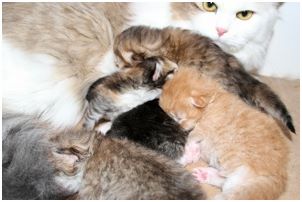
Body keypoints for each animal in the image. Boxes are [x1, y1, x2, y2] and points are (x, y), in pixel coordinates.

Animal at [159, 67, 290, 199]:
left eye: (178, 118)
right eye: (168, 115)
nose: (178, 128)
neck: (213, 100)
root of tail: (279, 176)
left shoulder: (204, 128)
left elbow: (191, 137)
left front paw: (190, 150)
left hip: (239, 167)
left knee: (229, 185)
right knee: (224, 182)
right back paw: (206, 175)